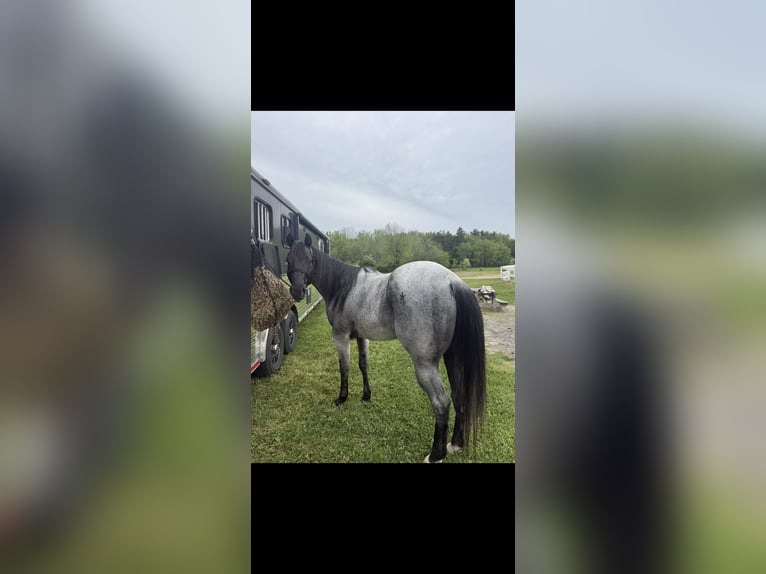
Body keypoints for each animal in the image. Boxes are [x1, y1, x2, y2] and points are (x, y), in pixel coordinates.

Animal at [286, 233, 487, 463]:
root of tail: (452, 281)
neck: (344, 287)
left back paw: (436, 454)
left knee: (441, 402)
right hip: (452, 357)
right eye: (288, 260)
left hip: (425, 365)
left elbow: (344, 368)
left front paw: (342, 398)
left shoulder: (340, 336)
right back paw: (455, 444)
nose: (297, 291)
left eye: (310, 260)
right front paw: (366, 396)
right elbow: (363, 365)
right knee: (458, 395)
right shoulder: (362, 337)